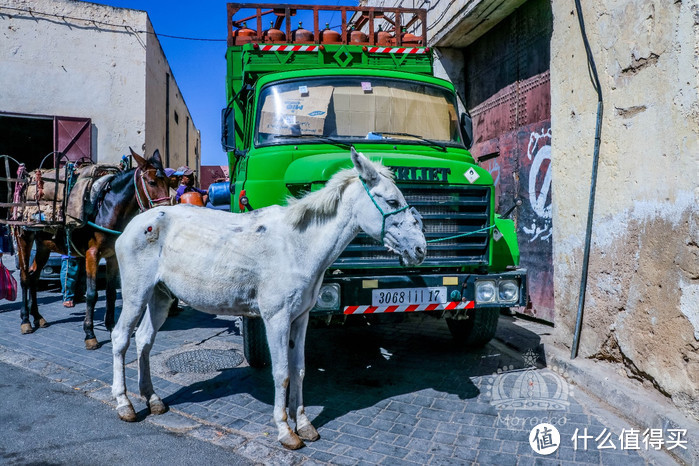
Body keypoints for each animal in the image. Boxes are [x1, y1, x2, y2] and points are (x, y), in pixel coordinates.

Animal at [15, 149, 171, 350]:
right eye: (152, 182)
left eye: (168, 181)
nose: (167, 212)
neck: (107, 209)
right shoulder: (92, 255)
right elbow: (92, 294)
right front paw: (90, 334)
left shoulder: (112, 256)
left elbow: (111, 292)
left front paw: (111, 327)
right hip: (24, 239)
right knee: (25, 278)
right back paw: (25, 321)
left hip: (43, 246)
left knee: (34, 276)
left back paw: (38, 318)